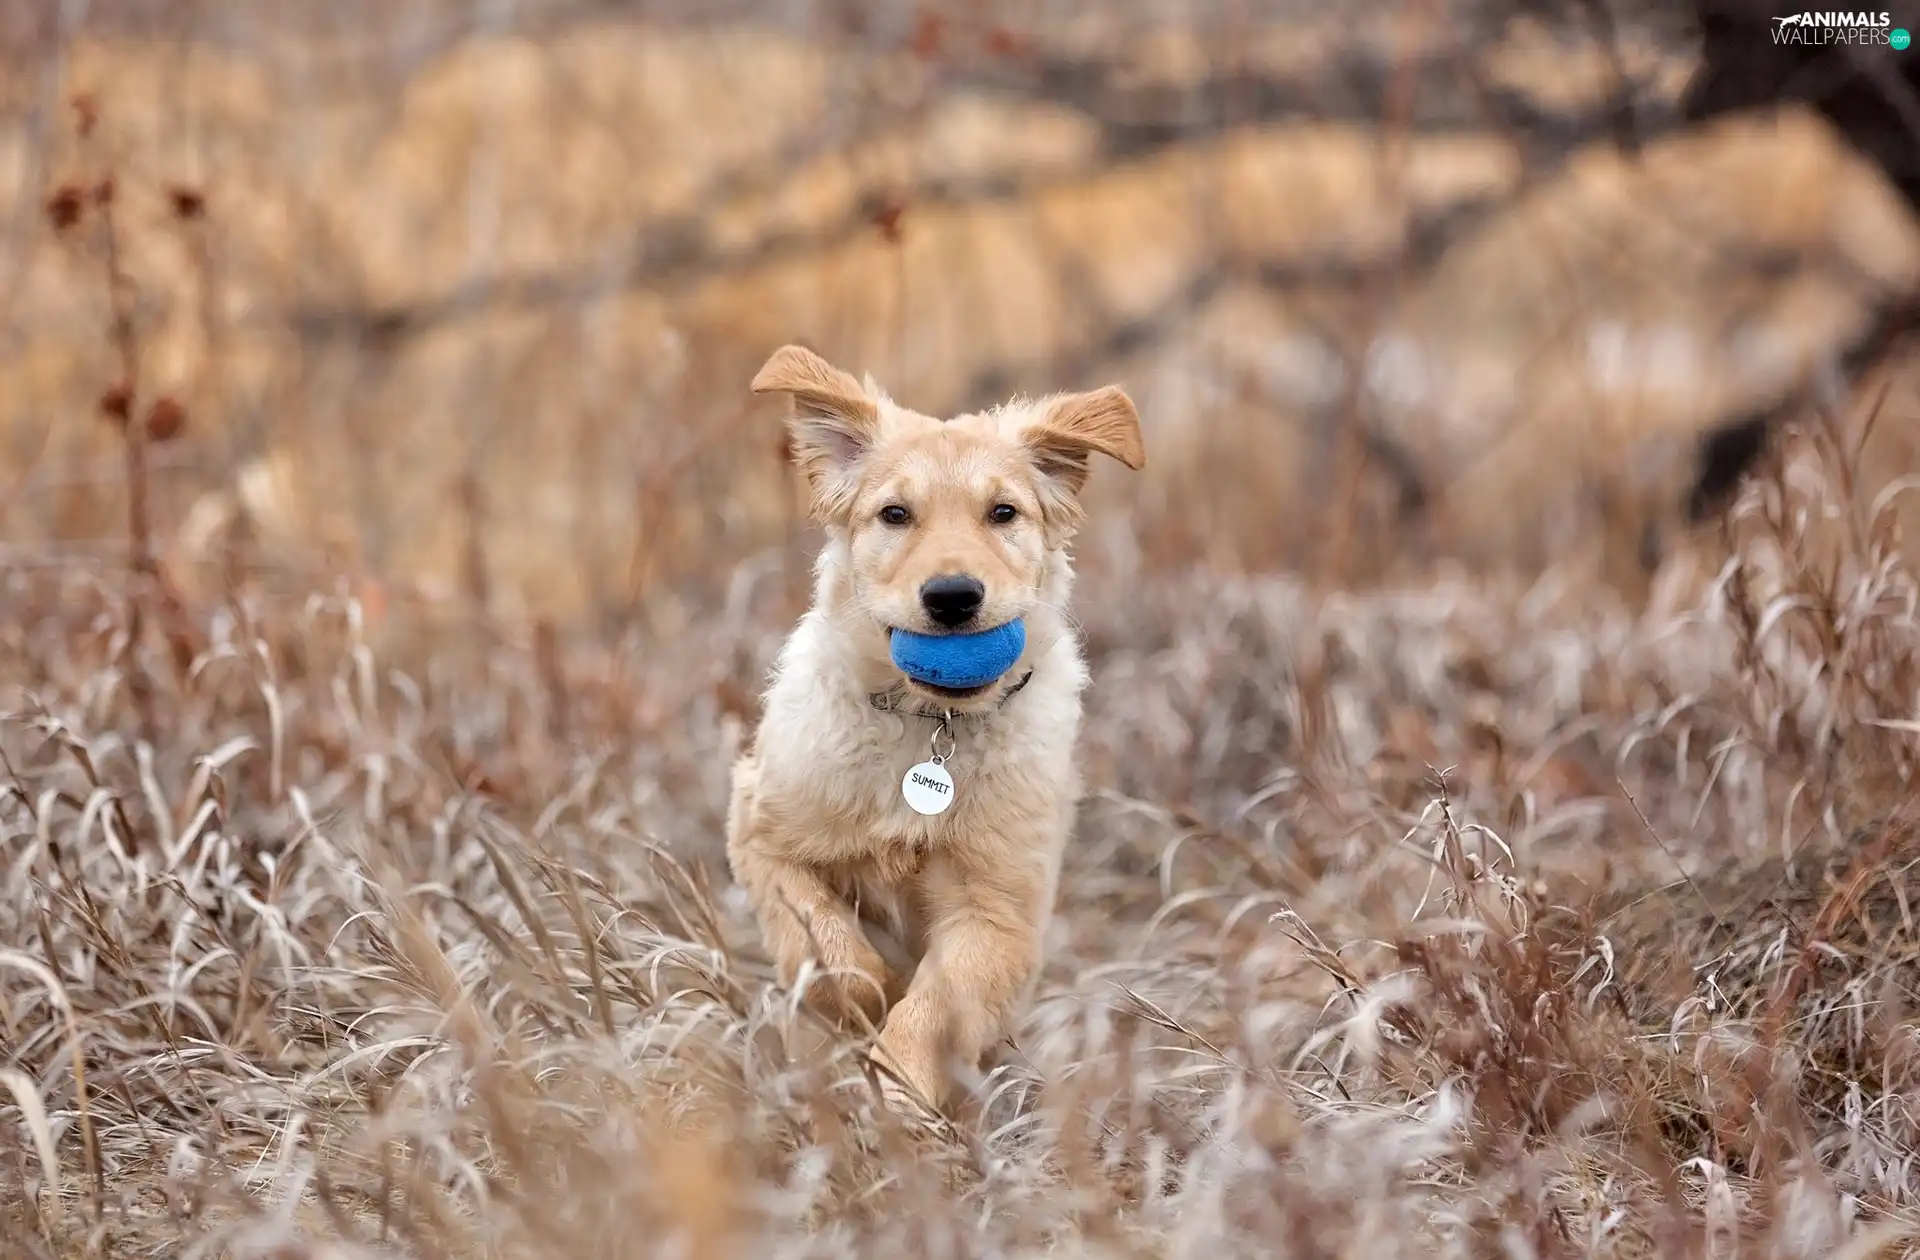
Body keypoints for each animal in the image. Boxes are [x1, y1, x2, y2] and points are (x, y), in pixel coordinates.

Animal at [721, 341, 1136, 1114]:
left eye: (1003, 512)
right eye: (894, 513)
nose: (952, 596)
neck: (930, 725)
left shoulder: (997, 912)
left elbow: (933, 1007)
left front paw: (897, 1093)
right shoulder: (763, 834)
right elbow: (829, 951)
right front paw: (870, 994)